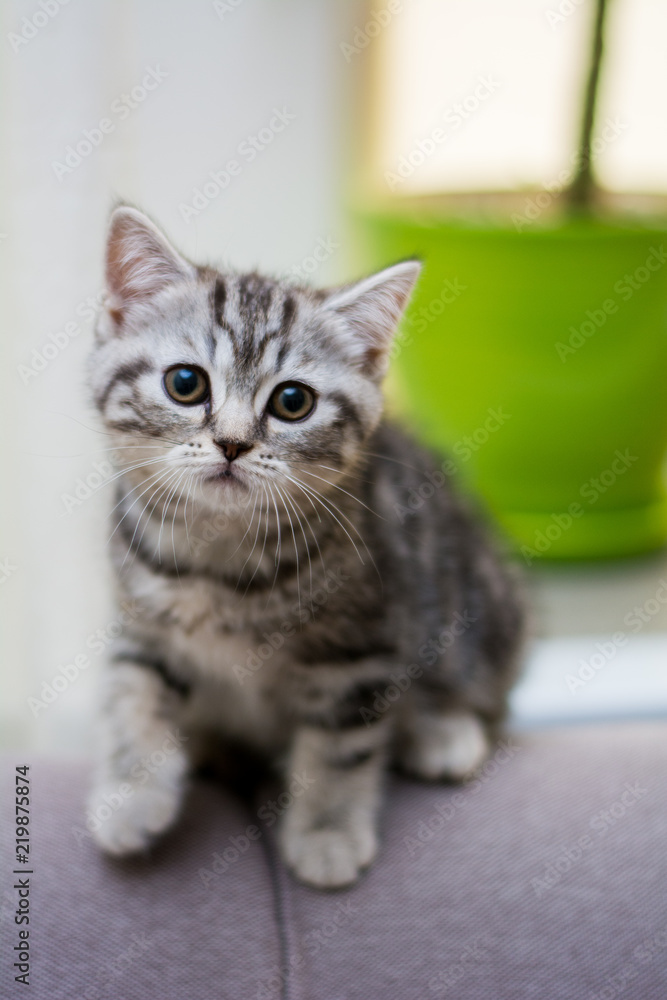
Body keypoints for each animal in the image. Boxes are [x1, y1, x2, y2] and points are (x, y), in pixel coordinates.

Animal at [86, 207, 524, 888]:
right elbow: (131, 695)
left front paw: (326, 832)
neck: (216, 560)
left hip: (473, 617)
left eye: (293, 401)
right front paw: (130, 798)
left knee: (481, 693)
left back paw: (441, 731)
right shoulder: (141, 623)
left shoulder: (358, 651)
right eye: (185, 384)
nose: (233, 443)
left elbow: (339, 748)